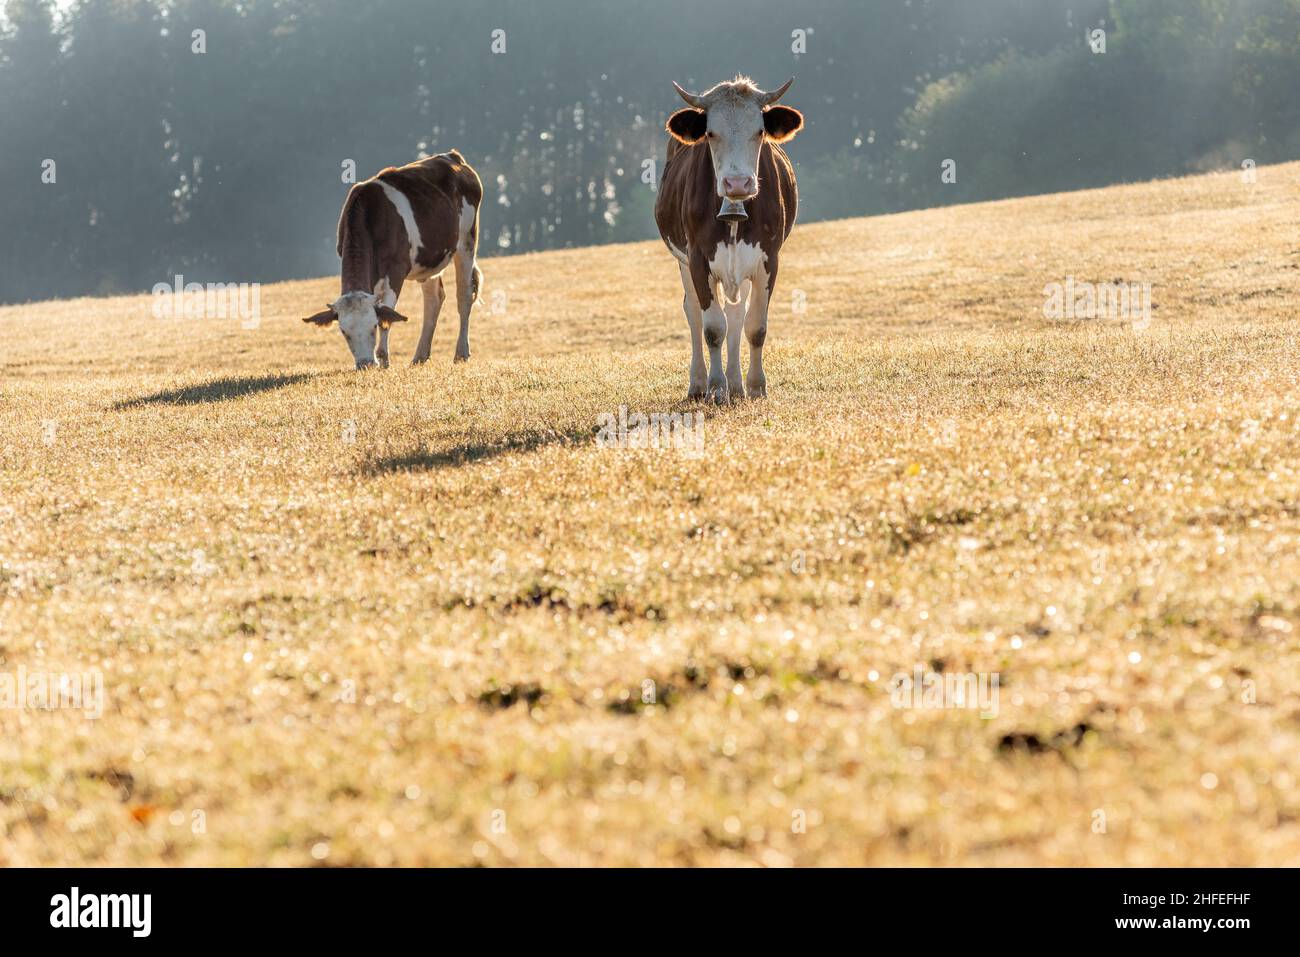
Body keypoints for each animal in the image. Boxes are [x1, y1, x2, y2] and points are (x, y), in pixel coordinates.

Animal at [302, 150, 483, 369]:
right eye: (344, 332)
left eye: (373, 326)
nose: (365, 364)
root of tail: (452, 157)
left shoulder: (396, 270)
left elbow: (387, 315)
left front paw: (384, 360)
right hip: (429, 260)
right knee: (433, 300)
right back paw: (420, 356)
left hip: (467, 240)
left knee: (464, 296)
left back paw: (461, 353)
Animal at [650, 75, 800, 400]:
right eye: (710, 133)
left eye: (760, 131)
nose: (737, 183)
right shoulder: (697, 259)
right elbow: (713, 328)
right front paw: (716, 388)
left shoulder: (768, 259)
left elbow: (755, 326)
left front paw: (755, 386)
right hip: (684, 261)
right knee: (694, 312)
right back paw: (699, 384)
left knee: (736, 313)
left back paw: (736, 384)